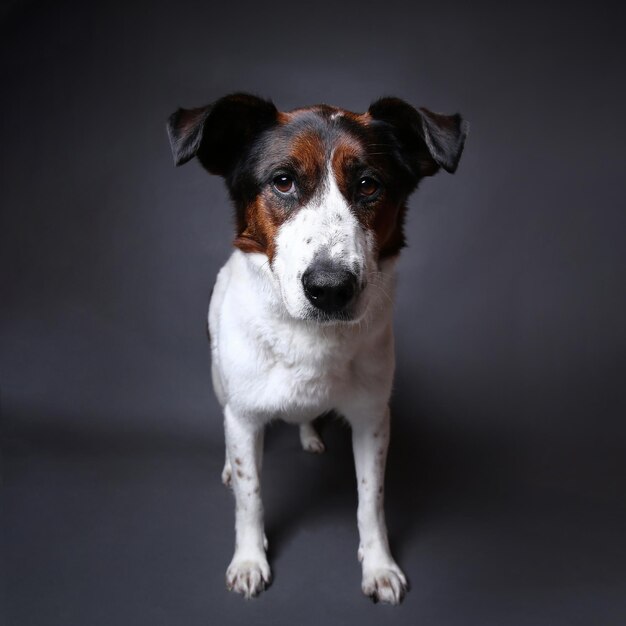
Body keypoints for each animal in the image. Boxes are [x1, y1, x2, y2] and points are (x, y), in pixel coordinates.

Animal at [166, 95, 468, 604]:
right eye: (283, 181)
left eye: (368, 184)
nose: (329, 288)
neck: (309, 338)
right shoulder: (244, 416)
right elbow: (250, 497)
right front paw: (249, 560)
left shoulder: (372, 419)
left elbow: (371, 499)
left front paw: (379, 566)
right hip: (219, 382)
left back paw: (309, 435)